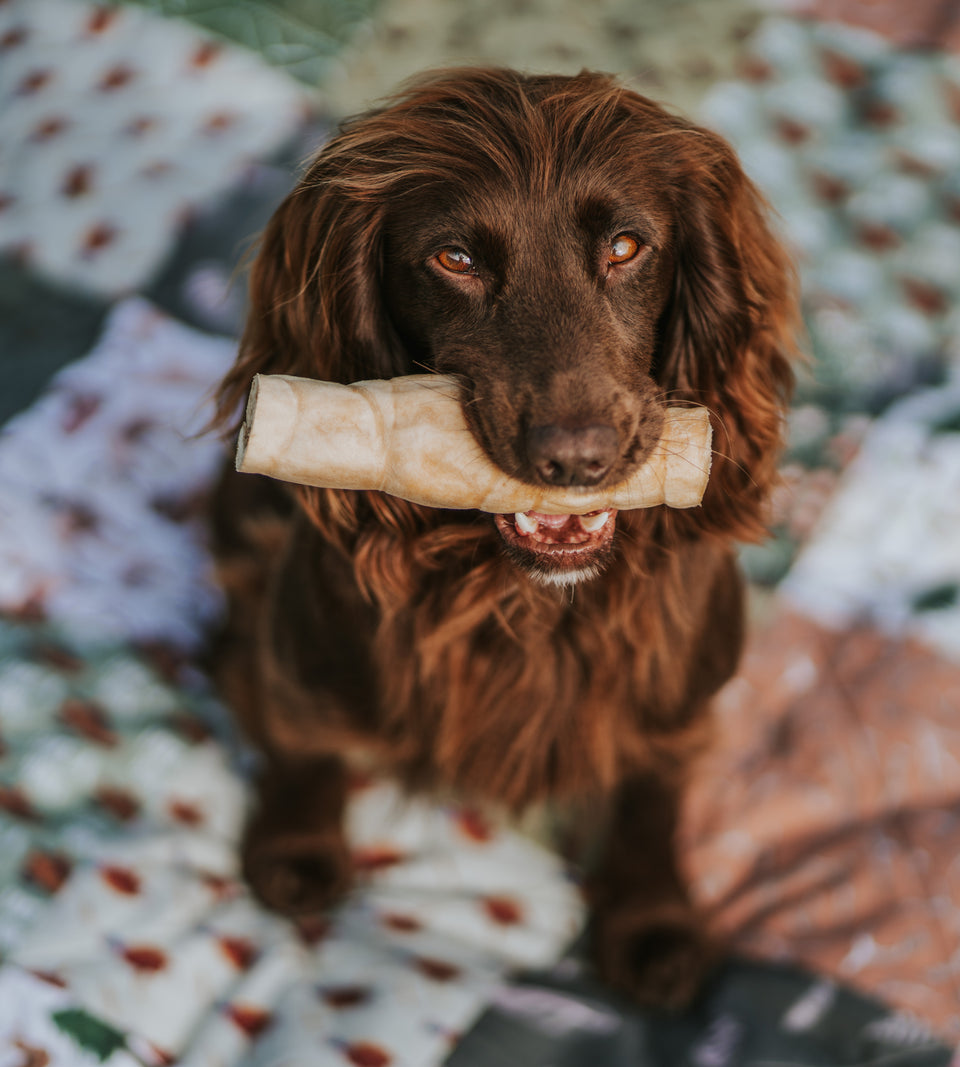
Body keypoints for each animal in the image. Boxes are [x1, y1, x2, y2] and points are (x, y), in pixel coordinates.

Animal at [213, 66, 797, 1007]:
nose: (578, 456)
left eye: (626, 247)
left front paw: (652, 919)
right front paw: (297, 843)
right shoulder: (307, 644)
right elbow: (305, 738)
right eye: (455, 259)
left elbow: (653, 791)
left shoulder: (681, 693)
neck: (523, 603)